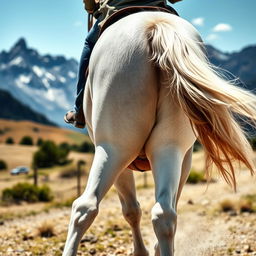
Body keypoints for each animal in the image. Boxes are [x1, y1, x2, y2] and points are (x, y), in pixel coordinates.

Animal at [62, 11, 256, 256]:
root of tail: (155, 26)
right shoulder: (185, 159)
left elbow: (131, 210)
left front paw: (141, 251)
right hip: (168, 147)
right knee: (164, 215)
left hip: (115, 149)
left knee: (85, 206)